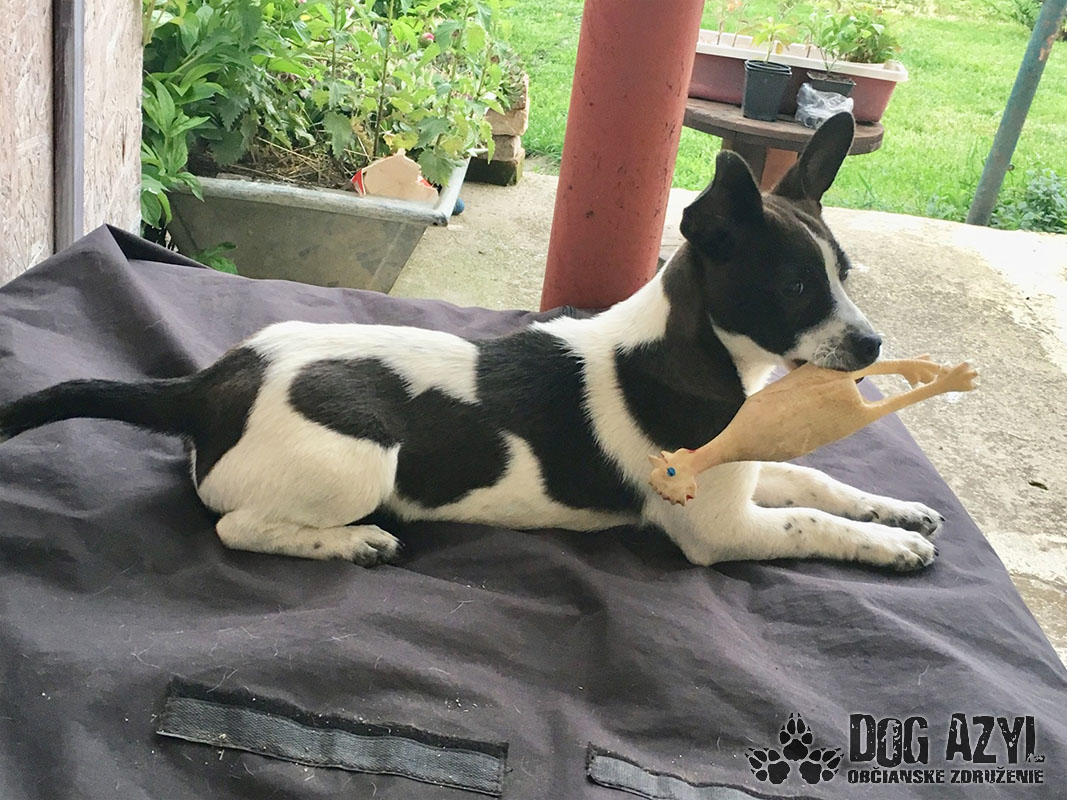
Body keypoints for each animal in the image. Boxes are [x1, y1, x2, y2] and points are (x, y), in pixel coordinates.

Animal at [0, 113, 942, 571]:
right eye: (793, 289)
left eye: (844, 273)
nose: (871, 347)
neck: (692, 352)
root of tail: (209, 386)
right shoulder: (722, 531)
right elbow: (808, 523)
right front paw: (892, 547)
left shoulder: (746, 474)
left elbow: (814, 483)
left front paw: (895, 510)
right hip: (359, 460)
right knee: (237, 528)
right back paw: (349, 543)